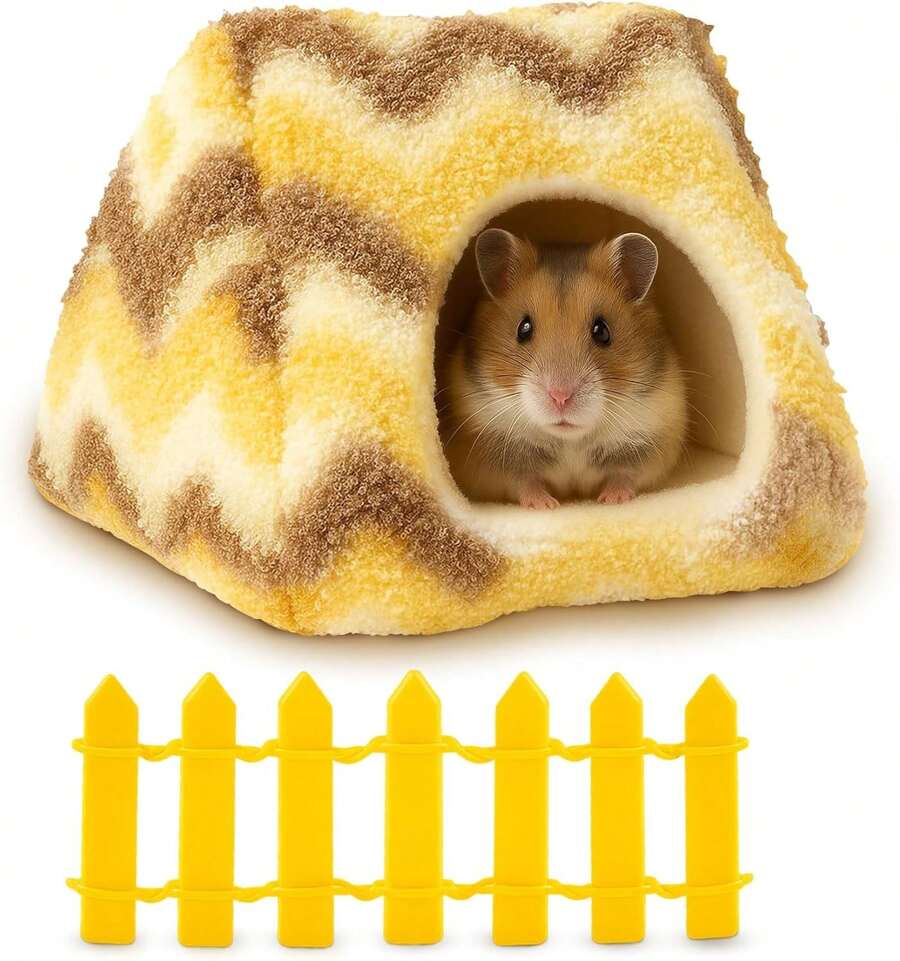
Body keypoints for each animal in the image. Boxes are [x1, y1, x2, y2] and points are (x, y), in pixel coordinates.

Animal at [439, 228, 687, 508]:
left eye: (602, 331)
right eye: (523, 329)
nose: (560, 396)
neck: (569, 440)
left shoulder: (650, 436)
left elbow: (624, 476)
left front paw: (610, 501)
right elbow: (525, 483)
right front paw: (546, 505)